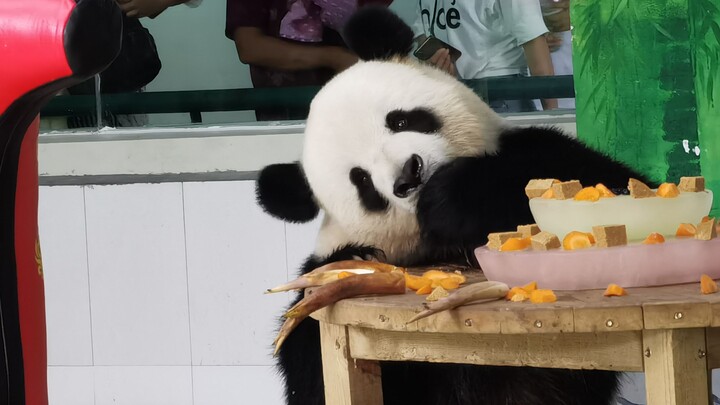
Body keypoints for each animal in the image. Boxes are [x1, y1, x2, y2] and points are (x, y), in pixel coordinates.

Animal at [256, 7, 656, 404]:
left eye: (400, 120)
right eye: (362, 181)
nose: (410, 174)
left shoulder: (536, 150)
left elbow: (601, 182)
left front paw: (451, 195)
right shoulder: (323, 292)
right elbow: (312, 367)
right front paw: (359, 256)